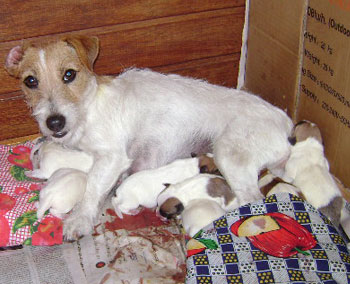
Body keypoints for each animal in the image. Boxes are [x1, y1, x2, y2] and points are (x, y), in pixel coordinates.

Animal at [5, 35, 292, 240]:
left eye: (69, 74)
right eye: (30, 81)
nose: (54, 122)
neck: (87, 108)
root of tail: (286, 122)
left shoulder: (112, 157)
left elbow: (92, 188)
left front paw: (80, 219)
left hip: (229, 155)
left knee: (251, 200)